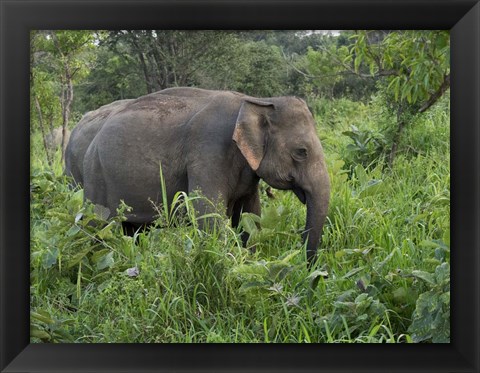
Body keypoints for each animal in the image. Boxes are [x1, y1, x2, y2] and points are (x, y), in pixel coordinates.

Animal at [66, 87, 330, 262]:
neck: (257, 101)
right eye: (301, 152)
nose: (307, 267)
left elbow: (250, 216)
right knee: (97, 226)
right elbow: (208, 215)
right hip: (94, 175)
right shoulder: (208, 152)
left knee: (132, 230)